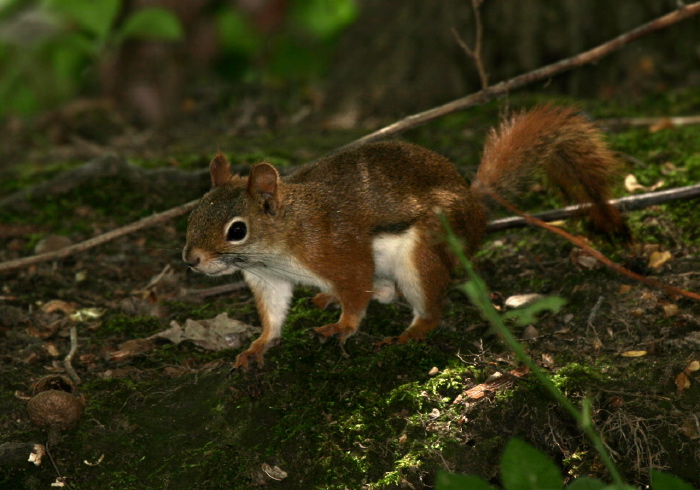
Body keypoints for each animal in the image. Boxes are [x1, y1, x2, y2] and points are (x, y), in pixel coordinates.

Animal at [182, 105, 628, 370]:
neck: (283, 238)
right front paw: (258, 345)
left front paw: (343, 327)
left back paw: (405, 333)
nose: (191, 259)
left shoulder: (341, 252)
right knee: (387, 292)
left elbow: (355, 290)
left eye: (237, 230)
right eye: (194, 213)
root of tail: (476, 209)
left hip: (424, 252)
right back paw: (331, 298)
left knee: (425, 307)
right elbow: (274, 316)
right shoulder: (268, 279)